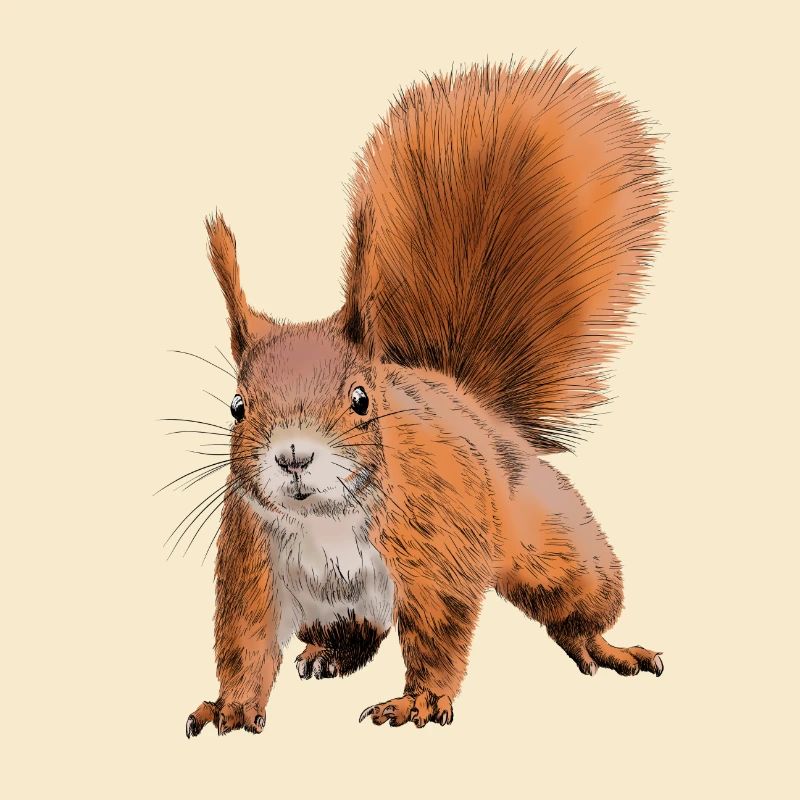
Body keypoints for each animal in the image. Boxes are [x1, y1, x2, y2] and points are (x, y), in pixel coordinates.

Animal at [182, 55, 666, 737]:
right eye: (237, 406)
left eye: (361, 399)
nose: (294, 456)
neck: (324, 520)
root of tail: (465, 396)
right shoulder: (252, 559)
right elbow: (244, 640)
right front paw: (229, 706)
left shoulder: (437, 541)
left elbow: (439, 628)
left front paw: (418, 703)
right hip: (333, 607)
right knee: (357, 634)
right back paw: (327, 654)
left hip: (549, 538)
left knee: (575, 598)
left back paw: (604, 644)